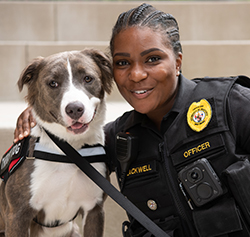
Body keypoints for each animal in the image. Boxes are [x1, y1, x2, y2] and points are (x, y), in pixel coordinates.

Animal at [0, 48, 112, 237]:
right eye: (53, 83)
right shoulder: (18, 214)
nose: (75, 109)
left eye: (87, 78)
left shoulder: (94, 210)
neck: (70, 149)